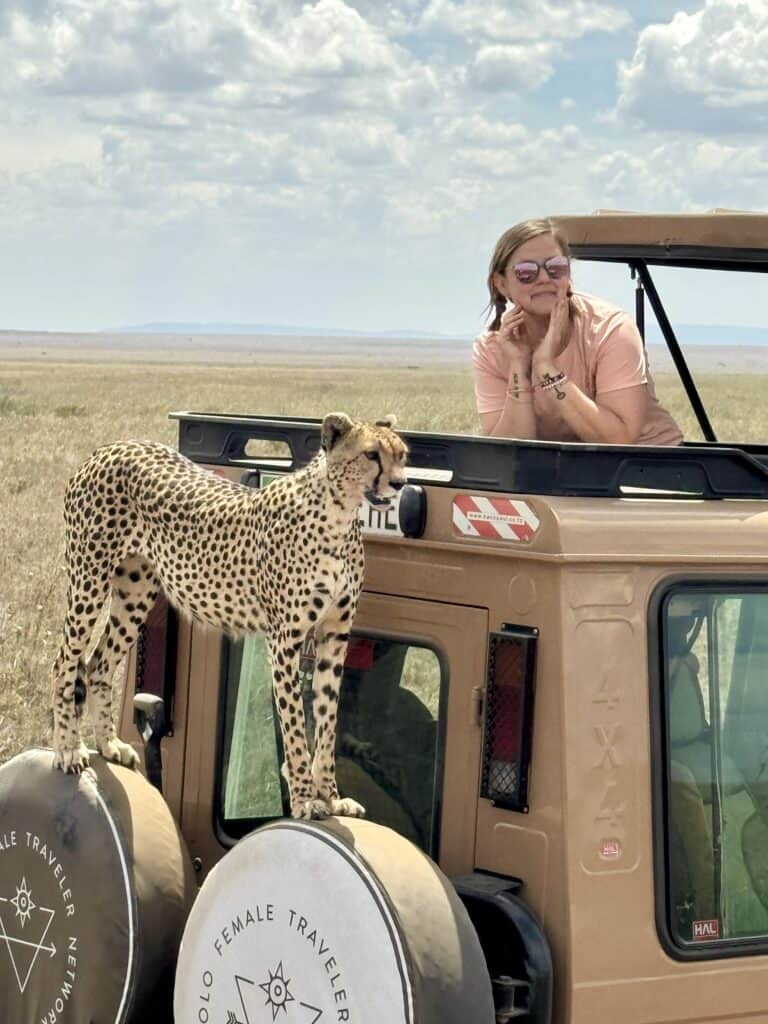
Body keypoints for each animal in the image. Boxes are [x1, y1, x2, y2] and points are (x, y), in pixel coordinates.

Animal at [50, 411, 408, 820]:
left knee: (99, 663)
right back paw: (69, 749)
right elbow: (295, 725)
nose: (400, 483)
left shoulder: (335, 636)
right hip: (88, 581)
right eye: (371, 454)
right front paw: (304, 799)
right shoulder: (284, 641)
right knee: (65, 661)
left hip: (136, 592)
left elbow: (327, 721)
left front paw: (332, 798)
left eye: (402, 455)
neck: (338, 514)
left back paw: (109, 744)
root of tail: (111, 446)